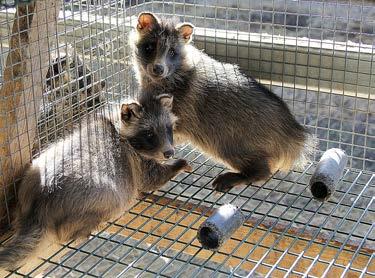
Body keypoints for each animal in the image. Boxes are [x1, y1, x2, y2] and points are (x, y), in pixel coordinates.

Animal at [0, 93, 189, 270]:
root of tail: (40, 207)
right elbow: (151, 179)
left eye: (168, 129)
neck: (117, 126)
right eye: (149, 134)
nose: (170, 153)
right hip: (99, 195)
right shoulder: (136, 162)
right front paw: (177, 165)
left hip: (35, 169)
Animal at [131, 11, 316, 192]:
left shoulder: (180, 107)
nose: (158, 69)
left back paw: (249, 174)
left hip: (235, 137)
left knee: (257, 166)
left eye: (172, 52)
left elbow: (171, 130)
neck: (160, 79)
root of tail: (292, 130)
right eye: (150, 47)